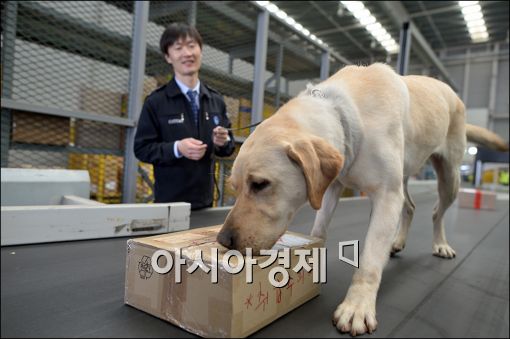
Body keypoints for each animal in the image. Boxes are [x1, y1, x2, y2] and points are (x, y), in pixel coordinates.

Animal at [217, 63, 508, 338]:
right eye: (235, 187)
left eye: (260, 184)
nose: (224, 240)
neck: (344, 112)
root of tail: (451, 93)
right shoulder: (331, 187)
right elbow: (319, 230)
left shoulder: (386, 196)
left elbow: (369, 262)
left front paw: (357, 306)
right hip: (403, 178)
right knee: (410, 207)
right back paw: (397, 241)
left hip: (449, 178)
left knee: (437, 211)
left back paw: (440, 244)